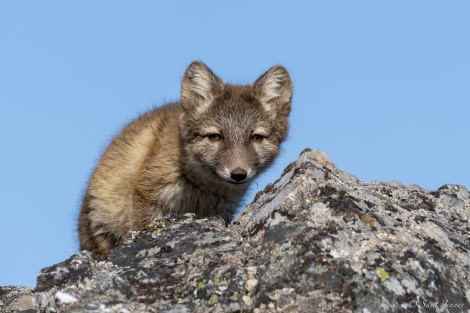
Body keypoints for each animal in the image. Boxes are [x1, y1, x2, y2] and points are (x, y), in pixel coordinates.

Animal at [77, 61, 292, 256]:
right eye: (215, 136)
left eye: (256, 137)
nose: (238, 174)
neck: (201, 188)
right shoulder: (146, 195)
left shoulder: (222, 211)